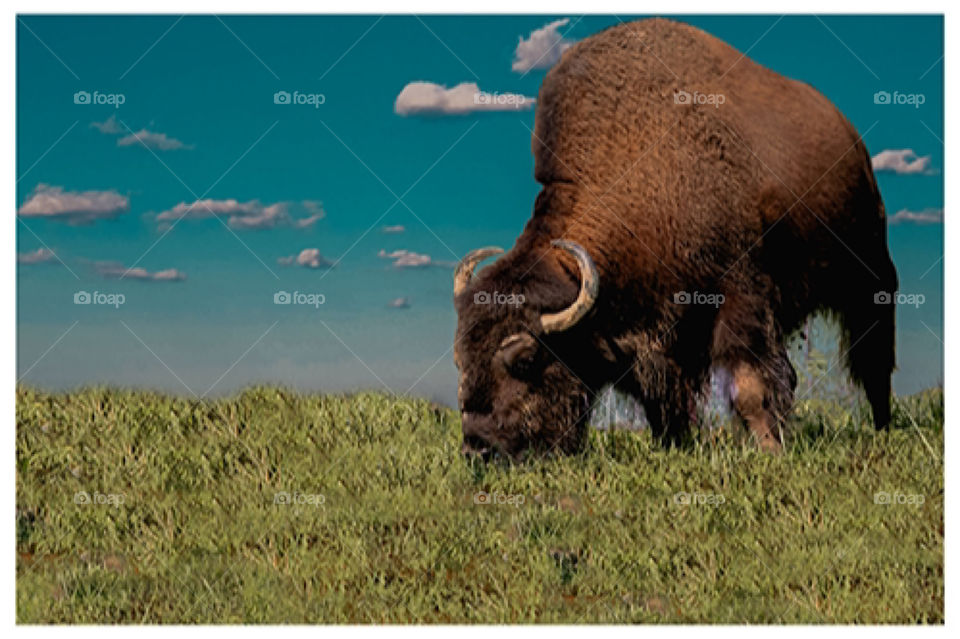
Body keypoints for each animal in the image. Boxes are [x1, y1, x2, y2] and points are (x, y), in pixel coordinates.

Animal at [453, 18, 897, 458]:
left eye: (526, 358)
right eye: (461, 357)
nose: (479, 447)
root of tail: (851, 138)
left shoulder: (739, 293)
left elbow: (750, 384)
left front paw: (769, 450)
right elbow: (663, 400)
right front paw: (674, 445)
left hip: (868, 274)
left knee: (874, 360)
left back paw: (884, 428)